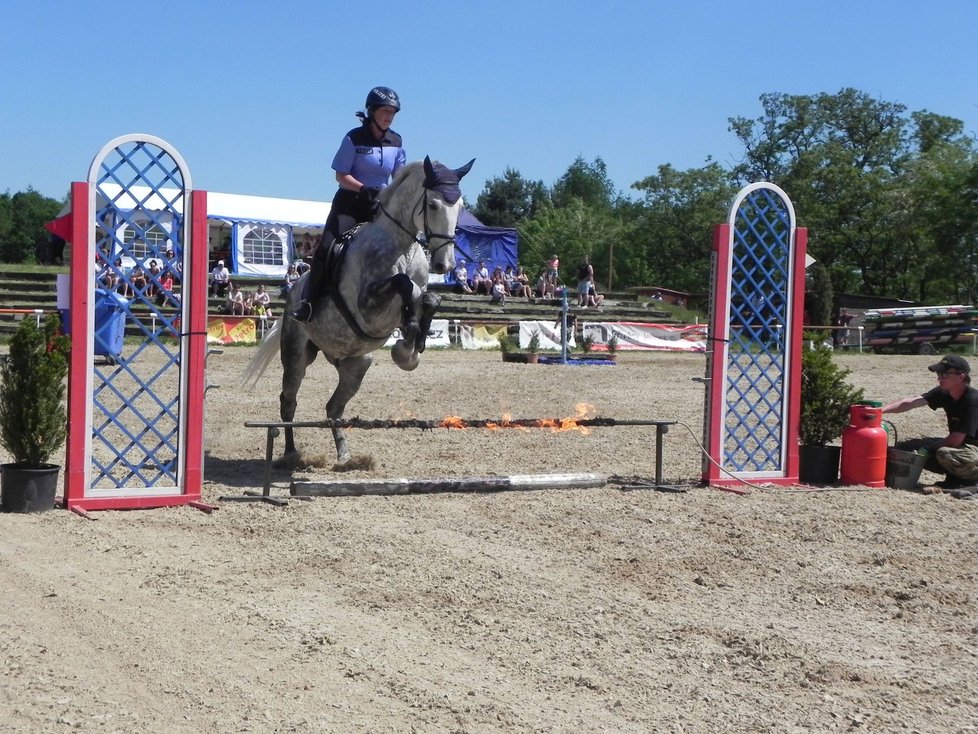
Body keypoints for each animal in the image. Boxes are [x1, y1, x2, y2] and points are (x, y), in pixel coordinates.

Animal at [244, 156, 472, 468]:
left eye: (459, 207)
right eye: (434, 205)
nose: (445, 265)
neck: (401, 247)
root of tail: (292, 297)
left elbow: (428, 298)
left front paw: (412, 346)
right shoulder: (367, 308)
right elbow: (405, 285)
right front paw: (406, 345)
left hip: (356, 363)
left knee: (333, 407)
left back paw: (344, 454)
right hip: (296, 356)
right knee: (288, 400)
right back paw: (291, 453)